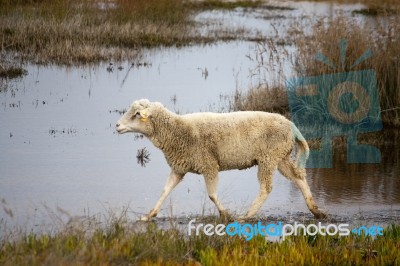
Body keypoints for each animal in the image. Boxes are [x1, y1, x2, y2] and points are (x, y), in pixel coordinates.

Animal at [115, 98, 328, 221]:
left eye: (137, 114)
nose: (116, 125)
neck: (176, 131)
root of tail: (290, 124)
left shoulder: (209, 165)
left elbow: (212, 195)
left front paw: (225, 214)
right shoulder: (179, 167)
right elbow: (165, 191)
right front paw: (149, 215)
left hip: (268, 157)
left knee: (266, 188)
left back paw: (246, 216)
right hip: (280, 156)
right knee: (299, 178)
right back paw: (316, 211)